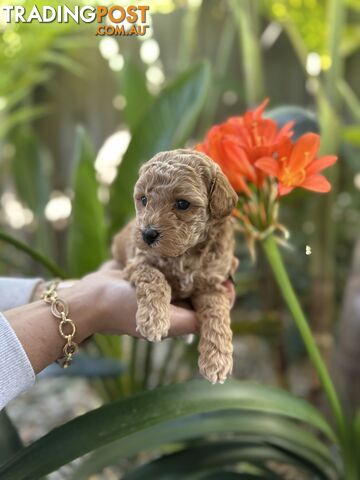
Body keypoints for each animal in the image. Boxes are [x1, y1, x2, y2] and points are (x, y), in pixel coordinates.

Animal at [112, 148, 239, 384]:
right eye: (143, 199)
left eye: (182, 204)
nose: (147, 234)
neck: (185, 254)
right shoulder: (139, 262)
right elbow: (155, 278)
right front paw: (154, 319)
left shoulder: (212, 283)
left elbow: (217, 314)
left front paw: (217, 359)